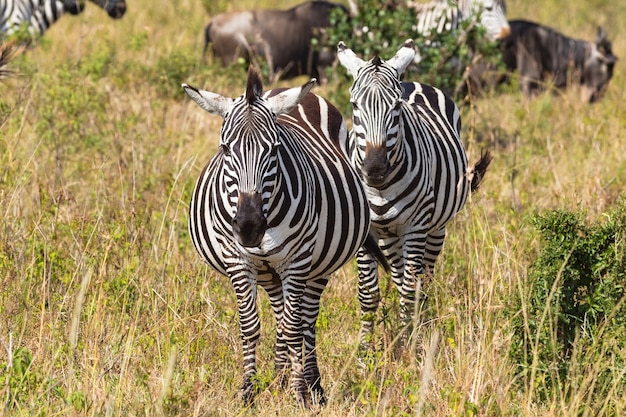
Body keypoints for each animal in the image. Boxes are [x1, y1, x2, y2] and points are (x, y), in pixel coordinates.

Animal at [183, 66, 382, 404]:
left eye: (275, 150)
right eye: (225, 149)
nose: (249, 226)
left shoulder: (298, 259)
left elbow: (293, 327)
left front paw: (298, 392)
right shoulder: (238, 259)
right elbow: (250, 325)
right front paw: (248, 390)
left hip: (318, 264)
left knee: (306, 319)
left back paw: (313, 386)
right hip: (268, 271)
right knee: (279, 312)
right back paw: (278, 377)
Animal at [336, 39, 492, 352]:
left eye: (396, 107)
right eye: (355, 105)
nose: (374, 168)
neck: (380, 189)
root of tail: (412, 81)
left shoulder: (416, 226)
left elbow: (410, 290)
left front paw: (410, 346)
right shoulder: (365, 234)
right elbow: (368, 295)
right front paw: (364, 354)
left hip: (435, 228)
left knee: (424, 279)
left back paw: (423, 322)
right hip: (389, 236)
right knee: (399, 276)